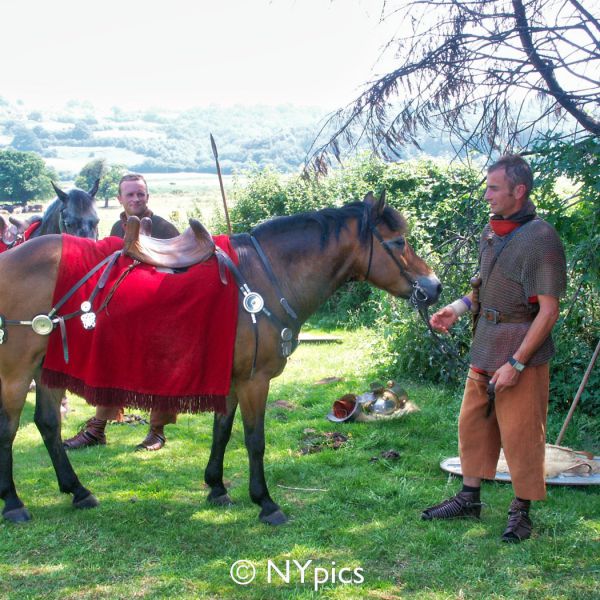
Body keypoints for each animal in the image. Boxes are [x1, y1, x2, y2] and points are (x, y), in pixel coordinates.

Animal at [0, 192, 440, 524]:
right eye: (398, 243)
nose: (434, 287)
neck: (267, 275)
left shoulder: (231, 378)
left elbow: (222, 432)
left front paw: (216, 486)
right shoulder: (255, 381)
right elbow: (254, 439)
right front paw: (265, 502)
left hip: (49, 368)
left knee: (48, 423)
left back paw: (78, 491)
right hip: (17, 370)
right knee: (10, 428)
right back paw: (15, 504)